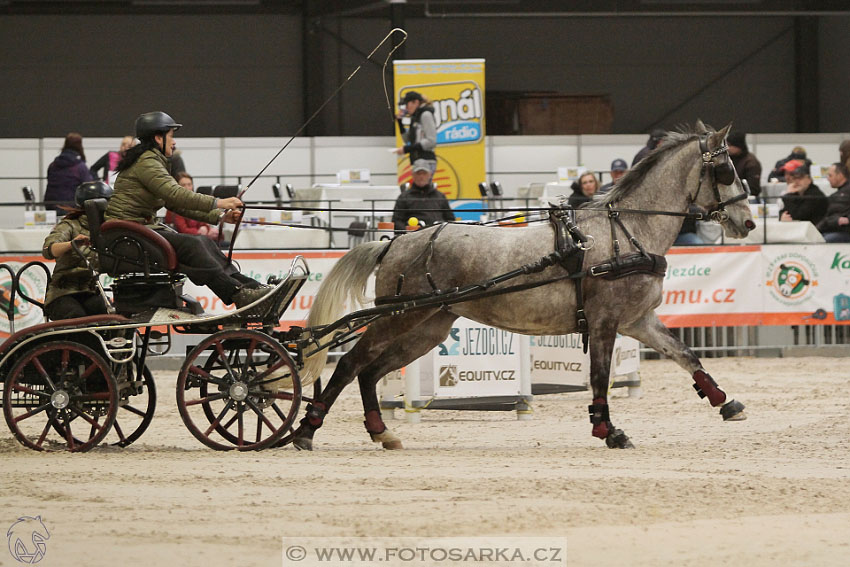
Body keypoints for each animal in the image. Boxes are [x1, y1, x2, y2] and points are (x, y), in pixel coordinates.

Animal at [294, 122, 752, 450]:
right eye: (726, 169)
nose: (747, 222)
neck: (627, 230)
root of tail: (396, 241)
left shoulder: (637, 320)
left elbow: (685, 354)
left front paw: (725, 402)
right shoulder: (605, 322)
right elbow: (600, 376)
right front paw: (608, 430)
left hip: (428, 327)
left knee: (371, 371)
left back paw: (381, 431)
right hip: (400, 318)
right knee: (351, 363)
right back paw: (306, 430)